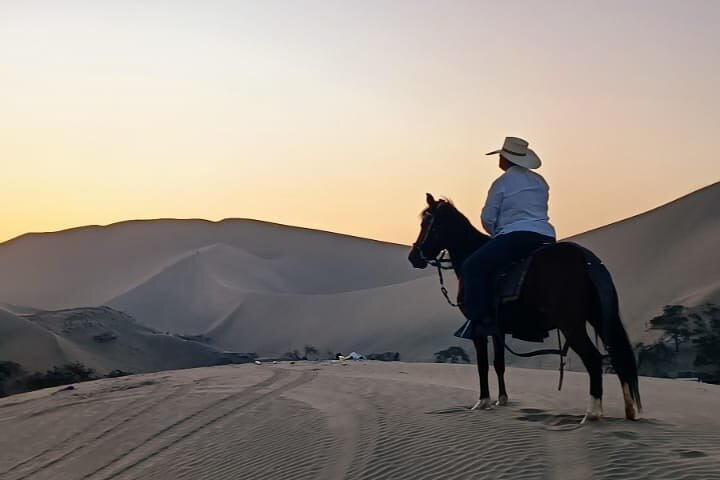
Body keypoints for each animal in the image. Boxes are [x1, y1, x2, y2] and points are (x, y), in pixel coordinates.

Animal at [410, 193, 640, 422]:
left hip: (570, 324)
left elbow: (483, 364)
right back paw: (628, 410)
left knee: (593, 358)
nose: (413, 257)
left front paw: (482, 401)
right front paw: (502, 399)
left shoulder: (477, 329)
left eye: (426, 224)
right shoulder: (497, 329)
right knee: (616, 355)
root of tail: (585, 258)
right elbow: (499, 363)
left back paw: (592, 413)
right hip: (597, 316)